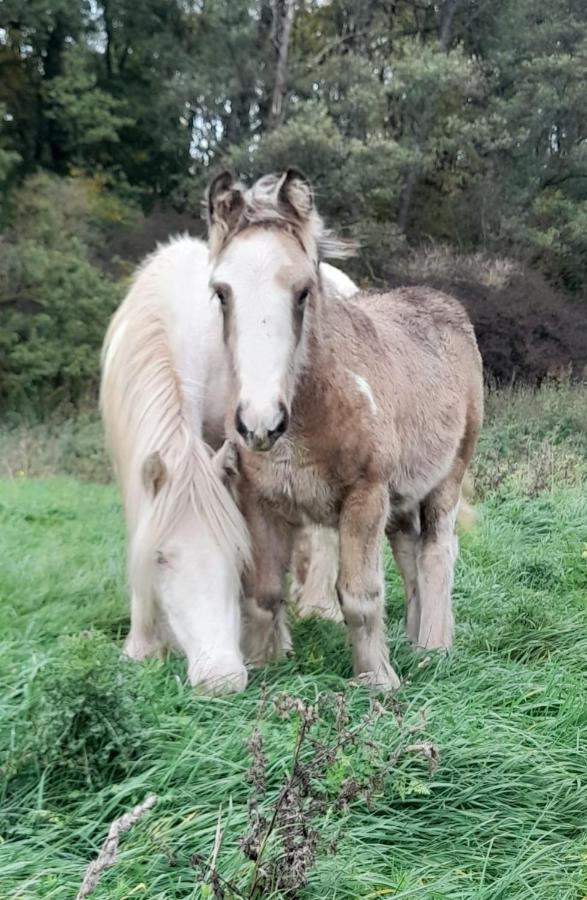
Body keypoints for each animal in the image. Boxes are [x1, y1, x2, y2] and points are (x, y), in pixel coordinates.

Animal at [207, 169, 482, 688]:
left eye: (302, 292)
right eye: (220, 292)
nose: (260, 423)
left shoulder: (364, 497)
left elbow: (359, 594)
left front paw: (377, 680)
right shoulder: (259, 499)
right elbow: (264, 591)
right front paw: (264, 668)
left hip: (447, 477)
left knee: (437, 552)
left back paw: (434, 649)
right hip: (401, 500)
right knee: (409, 553)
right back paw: (412, 641)